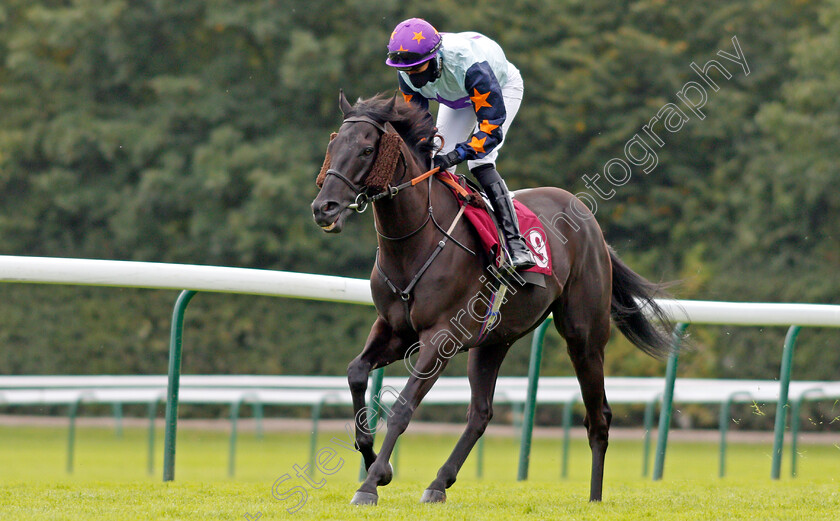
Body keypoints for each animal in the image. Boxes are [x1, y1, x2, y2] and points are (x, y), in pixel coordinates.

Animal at [312, 91, 672, 502]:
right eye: (333, 146)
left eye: (367, 149)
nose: (324, 208)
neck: (414, 243)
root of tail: (591, 222)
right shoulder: (394, 329)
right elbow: (356, 373)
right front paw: (375, 462)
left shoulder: (441, 337)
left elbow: (403, 407)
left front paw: (370, 483)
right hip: (493, 340)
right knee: (481, 413)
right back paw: (438, 483)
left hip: (584, 337)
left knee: (598, 417)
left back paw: (595, 497)